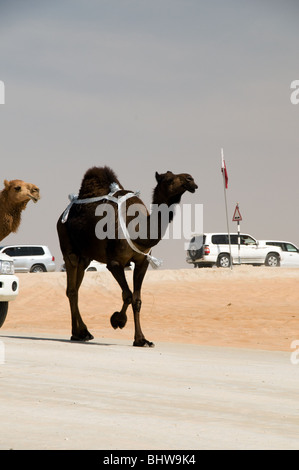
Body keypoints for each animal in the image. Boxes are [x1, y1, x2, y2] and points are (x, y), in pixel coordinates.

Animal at [58, 165, 199, 346]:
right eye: (168, 179)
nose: (190, 179)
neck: (138, 229)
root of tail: (62, 216)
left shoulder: (142, 262)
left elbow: (137, 299)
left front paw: (141, 339)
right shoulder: (114, 263)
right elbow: (128, 295)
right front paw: (117, 320)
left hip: (85, 257)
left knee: (76, 288)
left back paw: (80, 333)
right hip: (68, 246)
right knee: (72, 289)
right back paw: (80, 333)